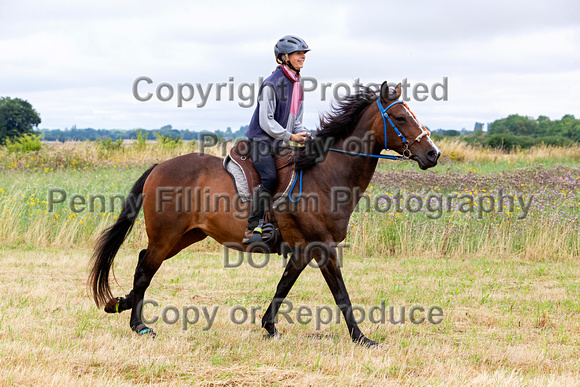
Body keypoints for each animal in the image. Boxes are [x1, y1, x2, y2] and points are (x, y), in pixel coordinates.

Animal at [87, 82, 440, 348]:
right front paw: (362, 338)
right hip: (167, 235)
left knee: (144, 262)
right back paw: (138, 324)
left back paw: (120, 303)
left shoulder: (304, 250)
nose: (433, 154)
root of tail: (159, 166)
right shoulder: (323, 247)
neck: (326, 174)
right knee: (145, 269)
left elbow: (284, 286)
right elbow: (341, 294)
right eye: (400, 117)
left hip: (186, 236)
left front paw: (269, 326)